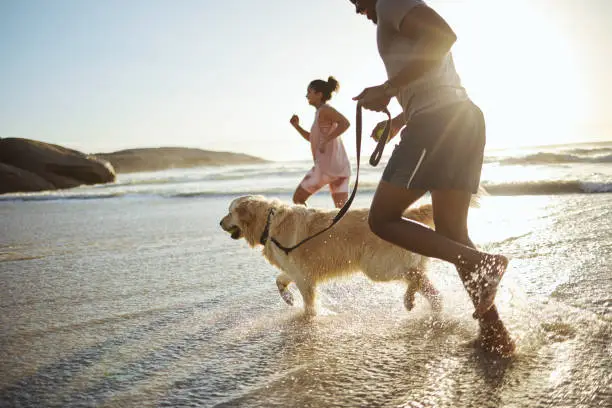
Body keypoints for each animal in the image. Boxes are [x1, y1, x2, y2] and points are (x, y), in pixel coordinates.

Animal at [220, 194, 440, 316]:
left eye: (230, 212)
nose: (219, 223)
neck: (269, 223)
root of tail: (409, 215)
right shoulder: (296, 269)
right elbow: (279, 280)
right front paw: (288, 298)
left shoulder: (303, 277)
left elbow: (309, 306)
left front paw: (308, 317)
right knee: (430, 288)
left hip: (376, 266)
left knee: (414, 275)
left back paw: (409, 299)